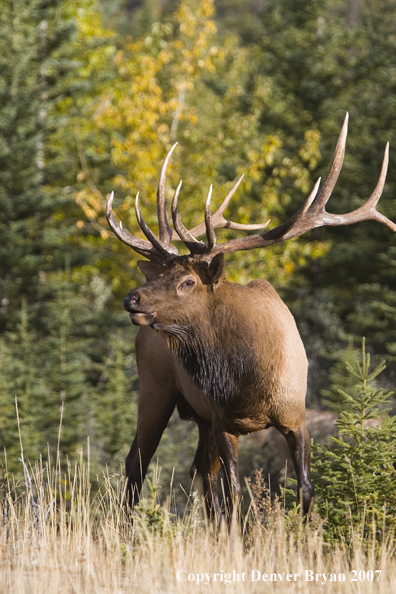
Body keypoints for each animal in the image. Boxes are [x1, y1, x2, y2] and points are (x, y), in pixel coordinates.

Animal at [106, 114, 396, 520]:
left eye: (187, 281)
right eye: (161, 276)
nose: (132, 298)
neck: (249, 378)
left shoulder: (294, 417)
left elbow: (305, 489)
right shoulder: (224, 421)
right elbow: (236, 493)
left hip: (195, 415)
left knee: (198, 470)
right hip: (155, 390)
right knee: (138, 463)